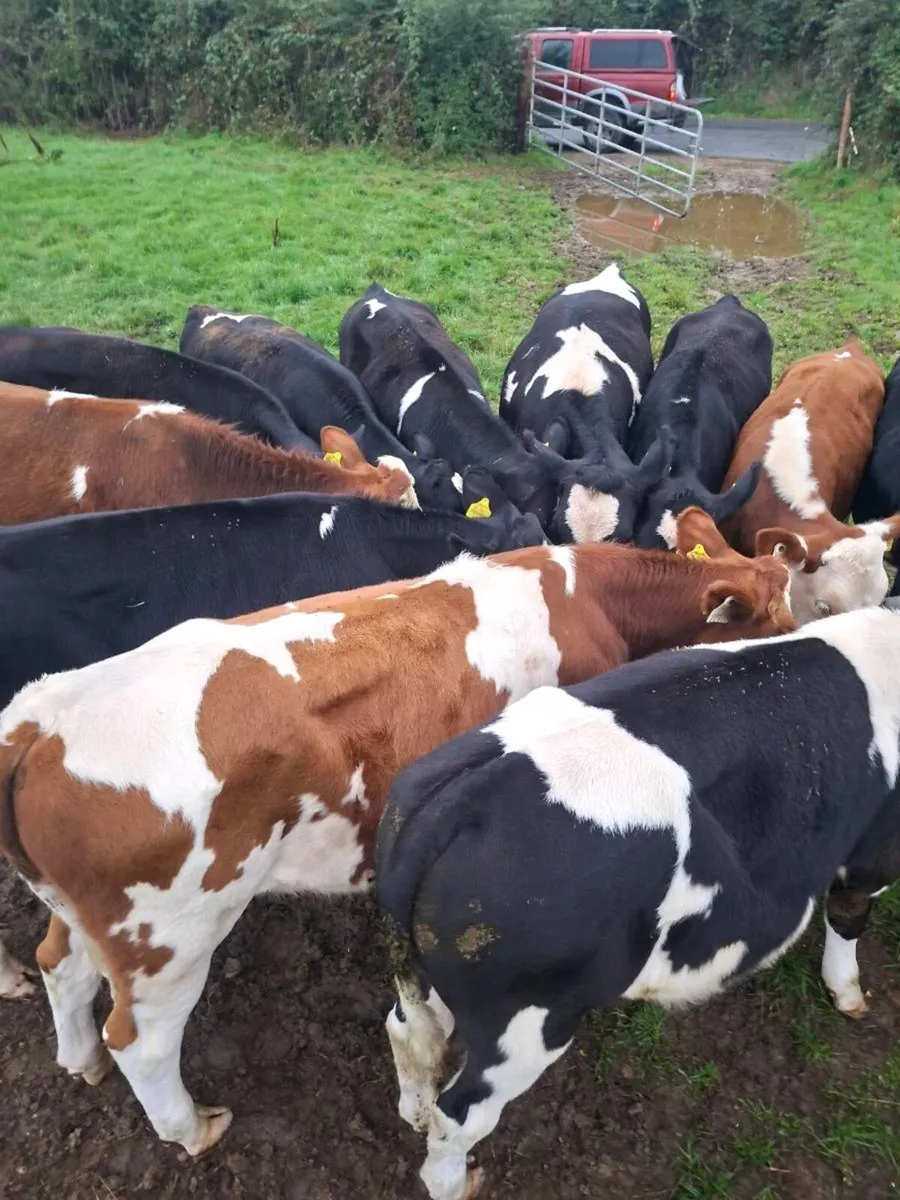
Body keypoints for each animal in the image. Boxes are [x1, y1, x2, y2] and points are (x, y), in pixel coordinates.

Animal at [0, 508, 795, 1146]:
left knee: (60, 964)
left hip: (83, 913)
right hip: (170, 937)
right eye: (780, 620)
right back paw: (191, 1129)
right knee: (142, 1040)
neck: (586, 595)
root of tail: (45, 718)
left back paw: (80, 1060)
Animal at [376, 605, 900, 1200]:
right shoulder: (875, 850)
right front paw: (848, 992)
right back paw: (456, 1180)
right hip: (528, 1019)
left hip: (429, 971)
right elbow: (849, 918)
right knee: (461, 1114)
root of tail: (457, 800)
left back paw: (413, 1110)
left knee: (408, 1034)